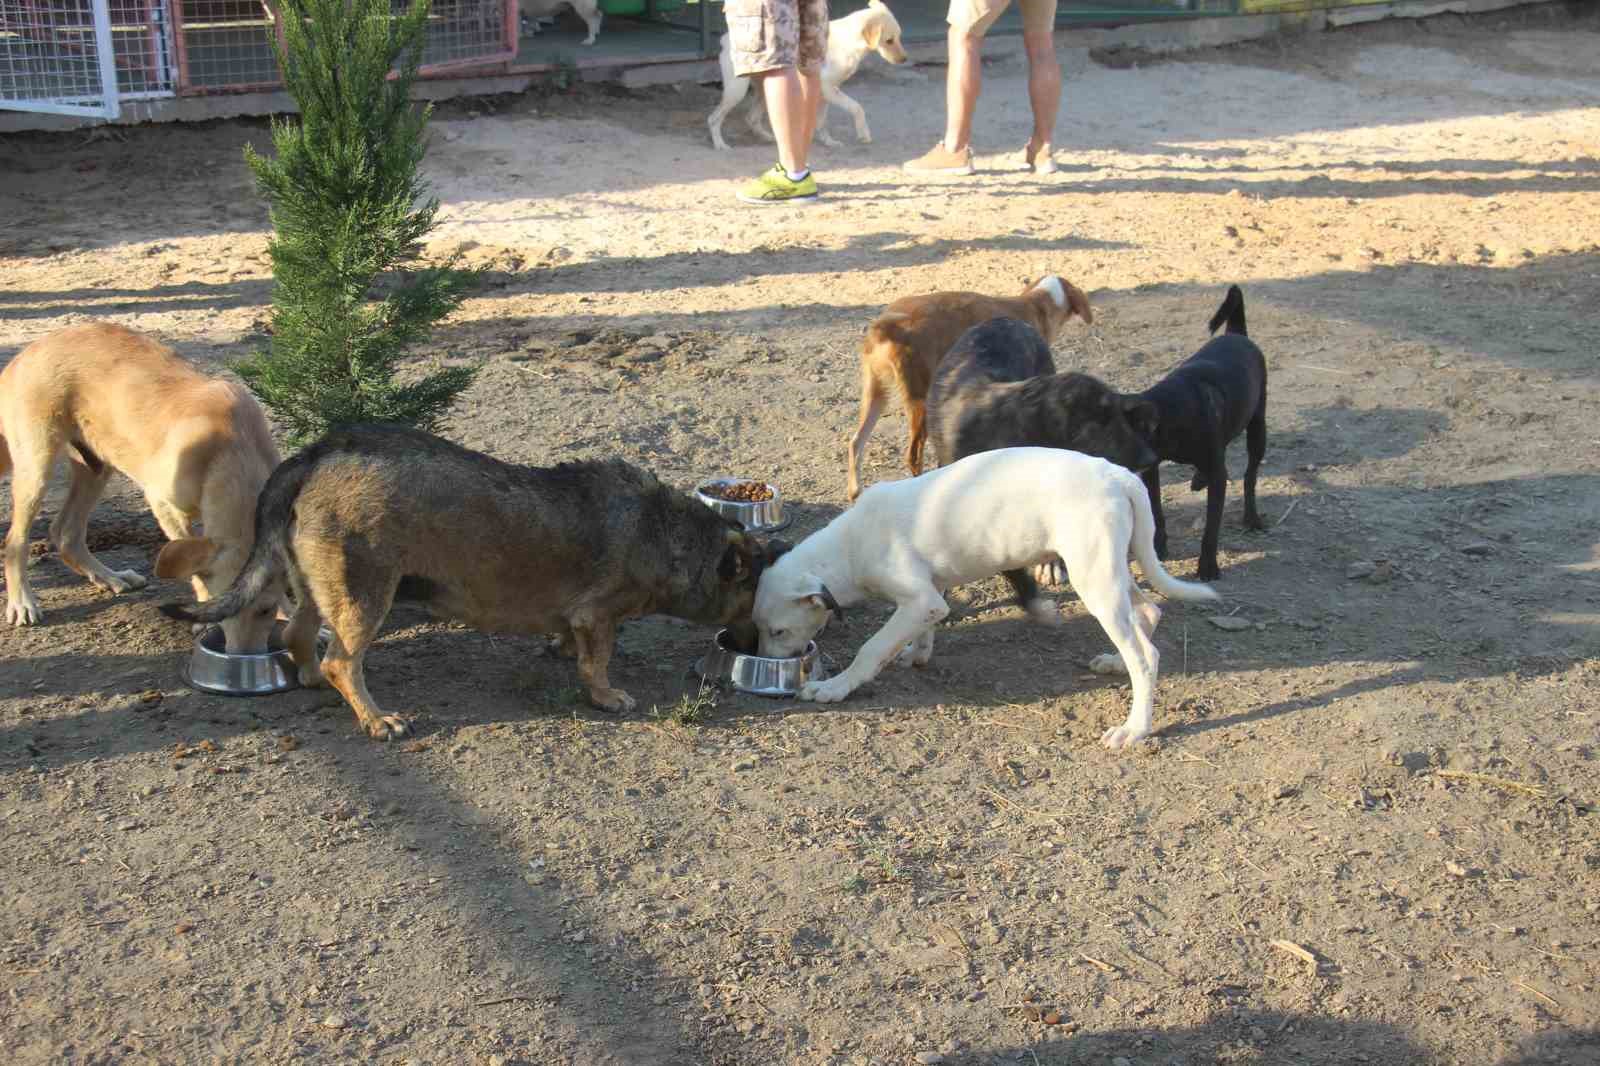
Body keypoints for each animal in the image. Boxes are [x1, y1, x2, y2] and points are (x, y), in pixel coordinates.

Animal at [0, 320, 284, 653]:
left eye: (266, 610)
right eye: (221, 608)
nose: (243, 656)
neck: (232, 447)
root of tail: (25, 353)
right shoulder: (163, 505)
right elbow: (194, 570)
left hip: (96, 466)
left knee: (66, 533)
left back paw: (110, 577)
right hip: (37, 468)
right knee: (15, 541)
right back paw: (22, 602)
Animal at [707, 0, 908, 150]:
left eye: (899, 37)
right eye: (889, 41)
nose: (904, 59)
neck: (849, 40)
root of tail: (725, 39)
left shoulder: (826, 93)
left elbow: (821, 122)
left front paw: (828, 142)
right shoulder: (828, 89)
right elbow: (856, 107)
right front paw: (863, 133)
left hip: (766, 90)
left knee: (752, 118)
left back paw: (768, 138)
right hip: (736, 91)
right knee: (713, 119)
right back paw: (720, 144)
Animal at [755, 444, 1216, 742]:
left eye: (778, 632)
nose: (767, 660)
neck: (847, 546)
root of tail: (1118, 475)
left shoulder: (920, 600)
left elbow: (871, 648)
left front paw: (834, 687)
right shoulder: (930, 597)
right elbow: (922, 631)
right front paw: (916, 654)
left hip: (1095, 578)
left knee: (1146, 655)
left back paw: (1135, 728)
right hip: (1111, 570)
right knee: (1149, 612)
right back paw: (1115, 663)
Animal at [844, 273, 1094, 499]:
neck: (1036, 302)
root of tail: (887, 324)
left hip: (875, 394)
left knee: (856, 442)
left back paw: (855, 493)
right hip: (919, 401)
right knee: (913, 457)